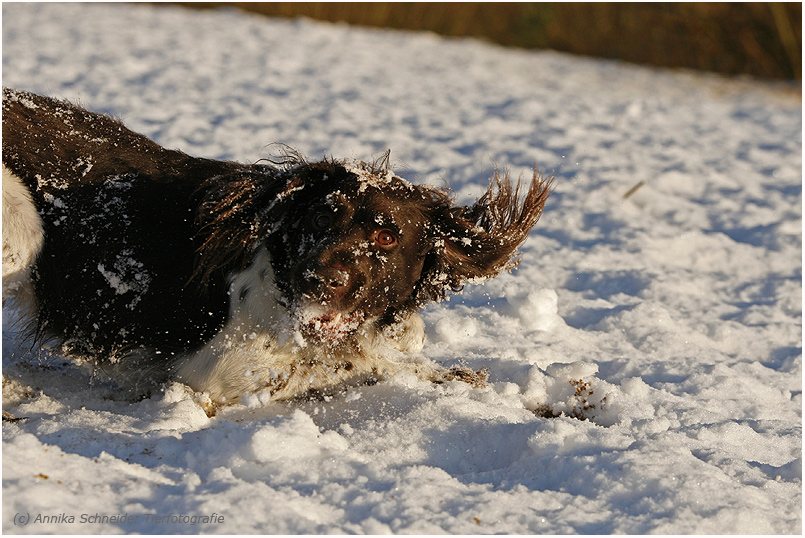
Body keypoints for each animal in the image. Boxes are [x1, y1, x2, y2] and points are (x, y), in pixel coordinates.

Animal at [1, 88, 552, 406]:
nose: (318, 279)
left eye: (386, 237)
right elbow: (357, 363)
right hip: (20, 230)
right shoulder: (224, 365)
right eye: (322, 217)